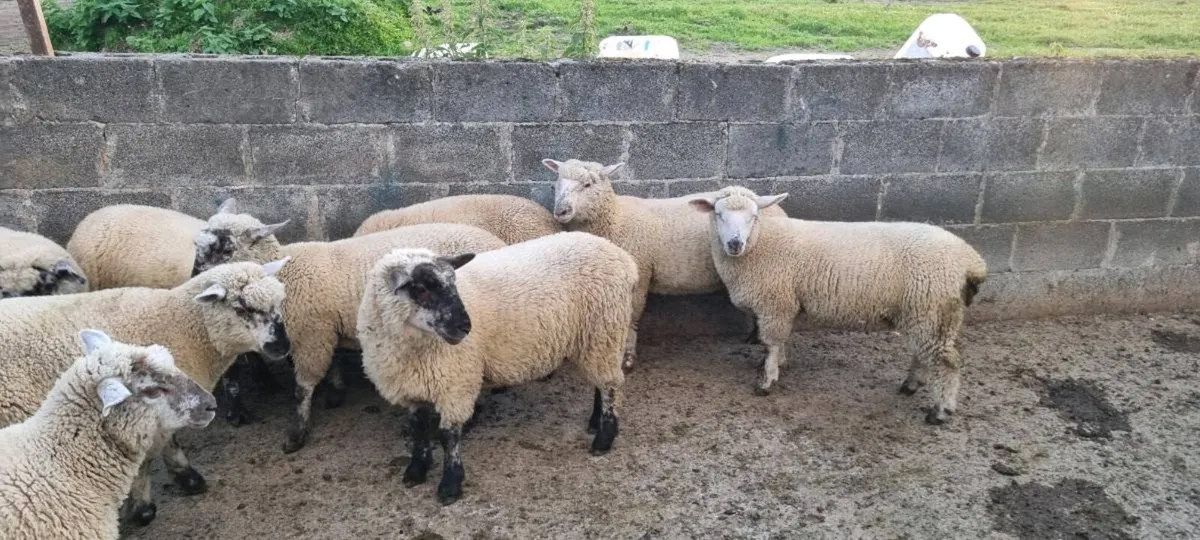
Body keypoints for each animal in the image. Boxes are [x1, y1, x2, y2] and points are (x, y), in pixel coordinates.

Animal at [192, 217, 508, 453]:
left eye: (226, 248)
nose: (194, 281)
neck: (283, 269)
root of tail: (498, 242)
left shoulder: (310, 333)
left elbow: (302, 388)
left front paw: (297, 434)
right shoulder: (324, 329)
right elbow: (332, 362)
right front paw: (336, 391)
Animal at [357, 231, 637, 505]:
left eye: (453, 284)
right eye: (421, 289)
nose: (465, 327)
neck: (413, 351)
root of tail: (623, 258)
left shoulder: (455, 383)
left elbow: (449, 436)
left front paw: (450, 484)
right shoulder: (411, 388)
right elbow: (418, 429)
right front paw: (416, 469)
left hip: (604, 329)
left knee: (610, 386)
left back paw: (604, 437)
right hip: (594, 339)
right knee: (601, 382)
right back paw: (595, 422)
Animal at [543, 158, 788, 371]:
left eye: (588, 184)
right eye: (558, 181)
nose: (561, 211)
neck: (615, 217)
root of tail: (774, 206)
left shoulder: (639, 275)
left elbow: (631, 316)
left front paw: (628, 357)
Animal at [688, 186, 988, 424]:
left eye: (753, 217)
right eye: (719, 214)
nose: (735, 244)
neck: (761, 243)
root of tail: (971, 261)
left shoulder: (775, 302)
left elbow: (771, 343)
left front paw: (767, 380)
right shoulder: (785, 304)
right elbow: (781, 341)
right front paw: (779, 363)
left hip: (933, 309)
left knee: (947, 362)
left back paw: (940, 411)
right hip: (924, 313)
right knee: (924, 354)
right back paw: (911, 385)